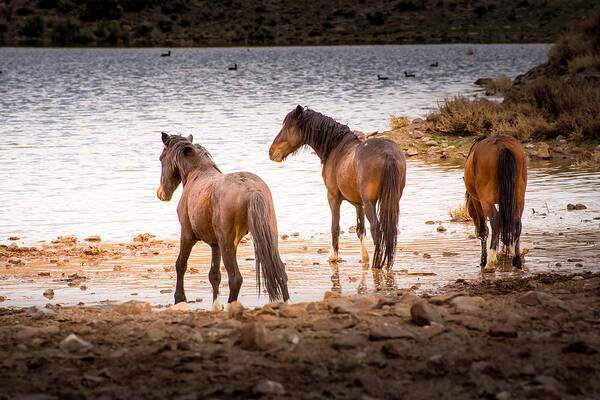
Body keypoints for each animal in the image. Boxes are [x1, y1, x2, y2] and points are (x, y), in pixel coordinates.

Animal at [156, 133, 290, 308]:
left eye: (161, 158)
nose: (161, 193)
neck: (197, 174)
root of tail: (252, 189)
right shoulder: (215, 244)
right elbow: (214, 275)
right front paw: (215, 306)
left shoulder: (187, 234)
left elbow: (181, 265)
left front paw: (180, 299)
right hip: (268, 236)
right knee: (280, 270)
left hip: (227, 243)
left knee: (235, 278)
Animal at [270, 105, 406, 268]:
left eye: (288, 127)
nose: (271, 152)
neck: (336, 147)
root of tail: (387, 154)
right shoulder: (358, 204)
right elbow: (360, 230)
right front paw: (364, 257)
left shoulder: (333, 197)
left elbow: (335, 227)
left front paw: (333, 256)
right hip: (390, 200)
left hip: (370, 203)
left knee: (376, 229)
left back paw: (377, 262)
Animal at [462, 134, 528, 268]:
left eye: (470, 213)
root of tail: (502, 145)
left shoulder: (477, 201)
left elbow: (484, 230)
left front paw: (483, 260)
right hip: (519, 197)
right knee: (516, 222)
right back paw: (517, 260)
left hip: (486, 200)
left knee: (495, 222)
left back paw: (491, 261)